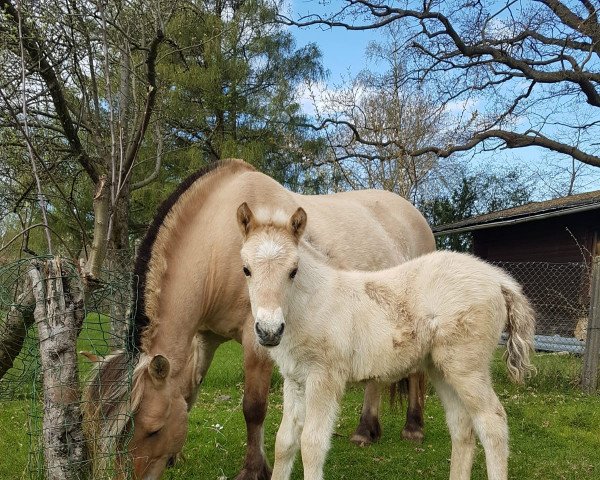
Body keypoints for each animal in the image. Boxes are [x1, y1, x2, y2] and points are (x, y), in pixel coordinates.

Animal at [82, 158, 434, 480]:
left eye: (153, 429)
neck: (219, 244)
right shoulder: (204, 338)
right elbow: (188, 392)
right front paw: (177, 457)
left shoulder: (259, 338)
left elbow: (253, 408)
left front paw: (253, 469)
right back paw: (365, 430)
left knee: (418, 372)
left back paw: (413, 427)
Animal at [237, 203, 536, 480]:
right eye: (246, 269)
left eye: (293, 270)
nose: (269, 330)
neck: (313, 302)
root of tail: (497, 279)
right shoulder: (295, 379)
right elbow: (284, 442)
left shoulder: (325, 377)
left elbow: (312, 445)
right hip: (442, 368)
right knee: (462, 426)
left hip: (467, 367)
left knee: (493, 422)